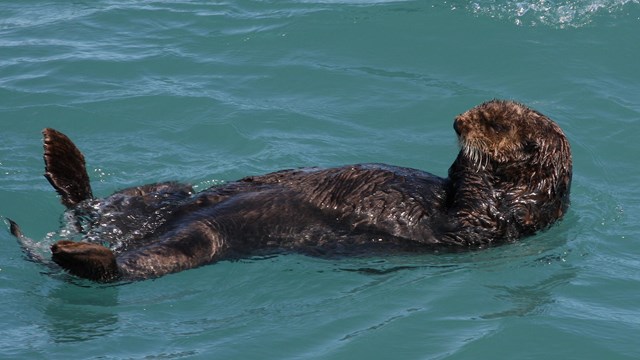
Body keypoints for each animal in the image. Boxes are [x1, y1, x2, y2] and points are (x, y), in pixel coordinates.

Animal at [7, 100, 572, 282]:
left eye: (495, 122)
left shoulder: (493, 224)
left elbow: (468, 208)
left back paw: (79, 253)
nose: (458, 121)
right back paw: (60, 159)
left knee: (121, 267)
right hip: (162, 195)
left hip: (200, 239)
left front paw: (471, 155)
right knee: (90, 204)